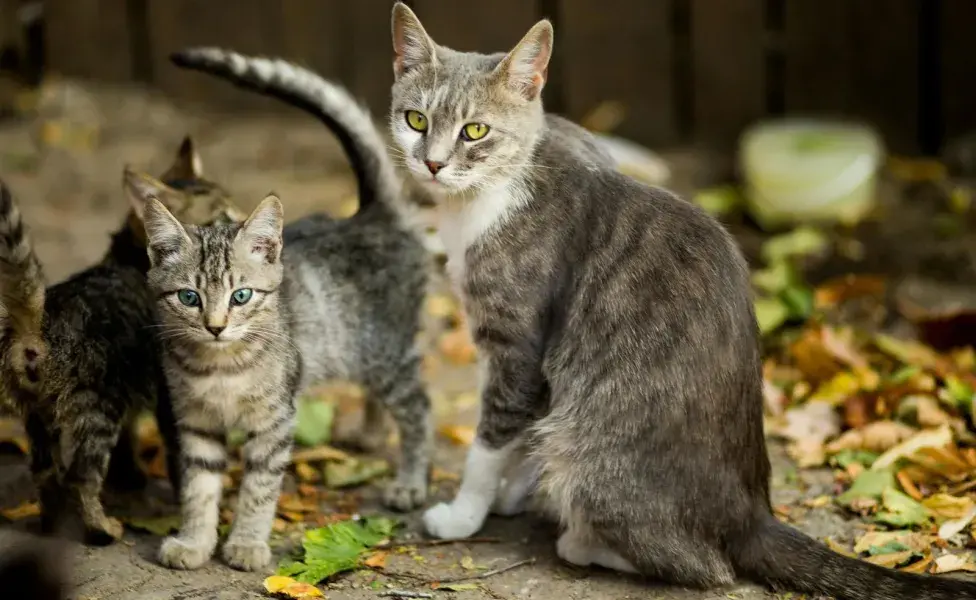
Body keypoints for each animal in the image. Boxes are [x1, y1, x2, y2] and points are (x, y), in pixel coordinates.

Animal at [0, 139, 243, 544]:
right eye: (223, 217)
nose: (246, 221)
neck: (129, 258)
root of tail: (39, 323)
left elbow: (130, 440)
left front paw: (130, 476)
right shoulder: (169, 395)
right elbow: (181, 458)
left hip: (36, 413)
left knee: (45, 472)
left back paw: (51, 524)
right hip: (97, 407)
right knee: (80, 476)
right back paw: (101, 528)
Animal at [143, 49, 432, 568]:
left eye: (240, 296)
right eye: (189, 297)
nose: (215, 327)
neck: (220, 365)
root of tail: (370, 214)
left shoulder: (276, 421)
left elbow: (259, 488)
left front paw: (246, 543)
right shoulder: (195, 423)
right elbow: (199, 488)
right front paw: (194, 541)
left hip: (387, 353)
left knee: (419, 407)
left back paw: (410, 482)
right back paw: (370, 435)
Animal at [386, 4, 976, 600]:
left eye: (475, 130)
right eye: (415, 120)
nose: (432, 164)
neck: (490, 195)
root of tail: (751, 515)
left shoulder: (517, 341)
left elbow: (492, 436)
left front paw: (464, 513)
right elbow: (524, 425)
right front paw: (511, 490)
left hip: (593, 458)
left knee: (705, 567)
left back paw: (581, 540)